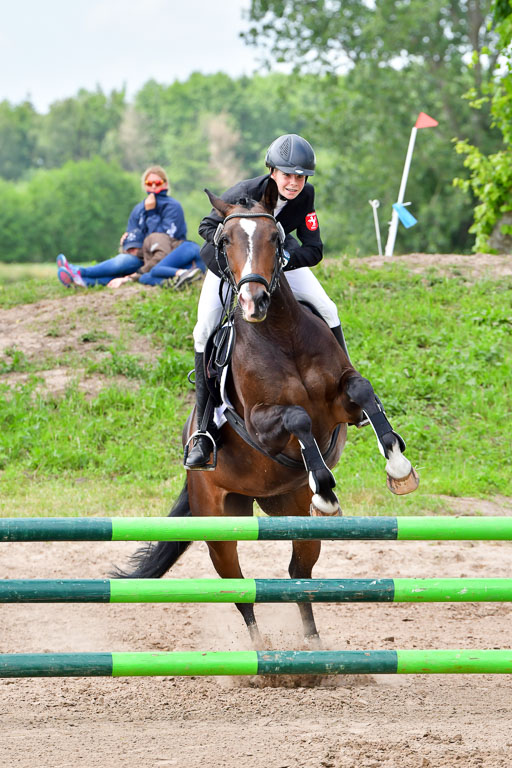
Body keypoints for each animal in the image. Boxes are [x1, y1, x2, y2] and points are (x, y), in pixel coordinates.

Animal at [115, 182, 418, 647]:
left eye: (276, 239)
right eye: (224, 240)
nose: (253, 300)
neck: (280, 333)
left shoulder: (339, 407)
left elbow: (363, 392)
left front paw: (399, 466)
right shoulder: (262, 424)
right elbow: (296, 418)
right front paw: (326, 486)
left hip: (287, 507)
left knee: (298, 573)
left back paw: (313, 645)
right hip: (219, 524)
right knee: (240, 588)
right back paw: (261, 652)